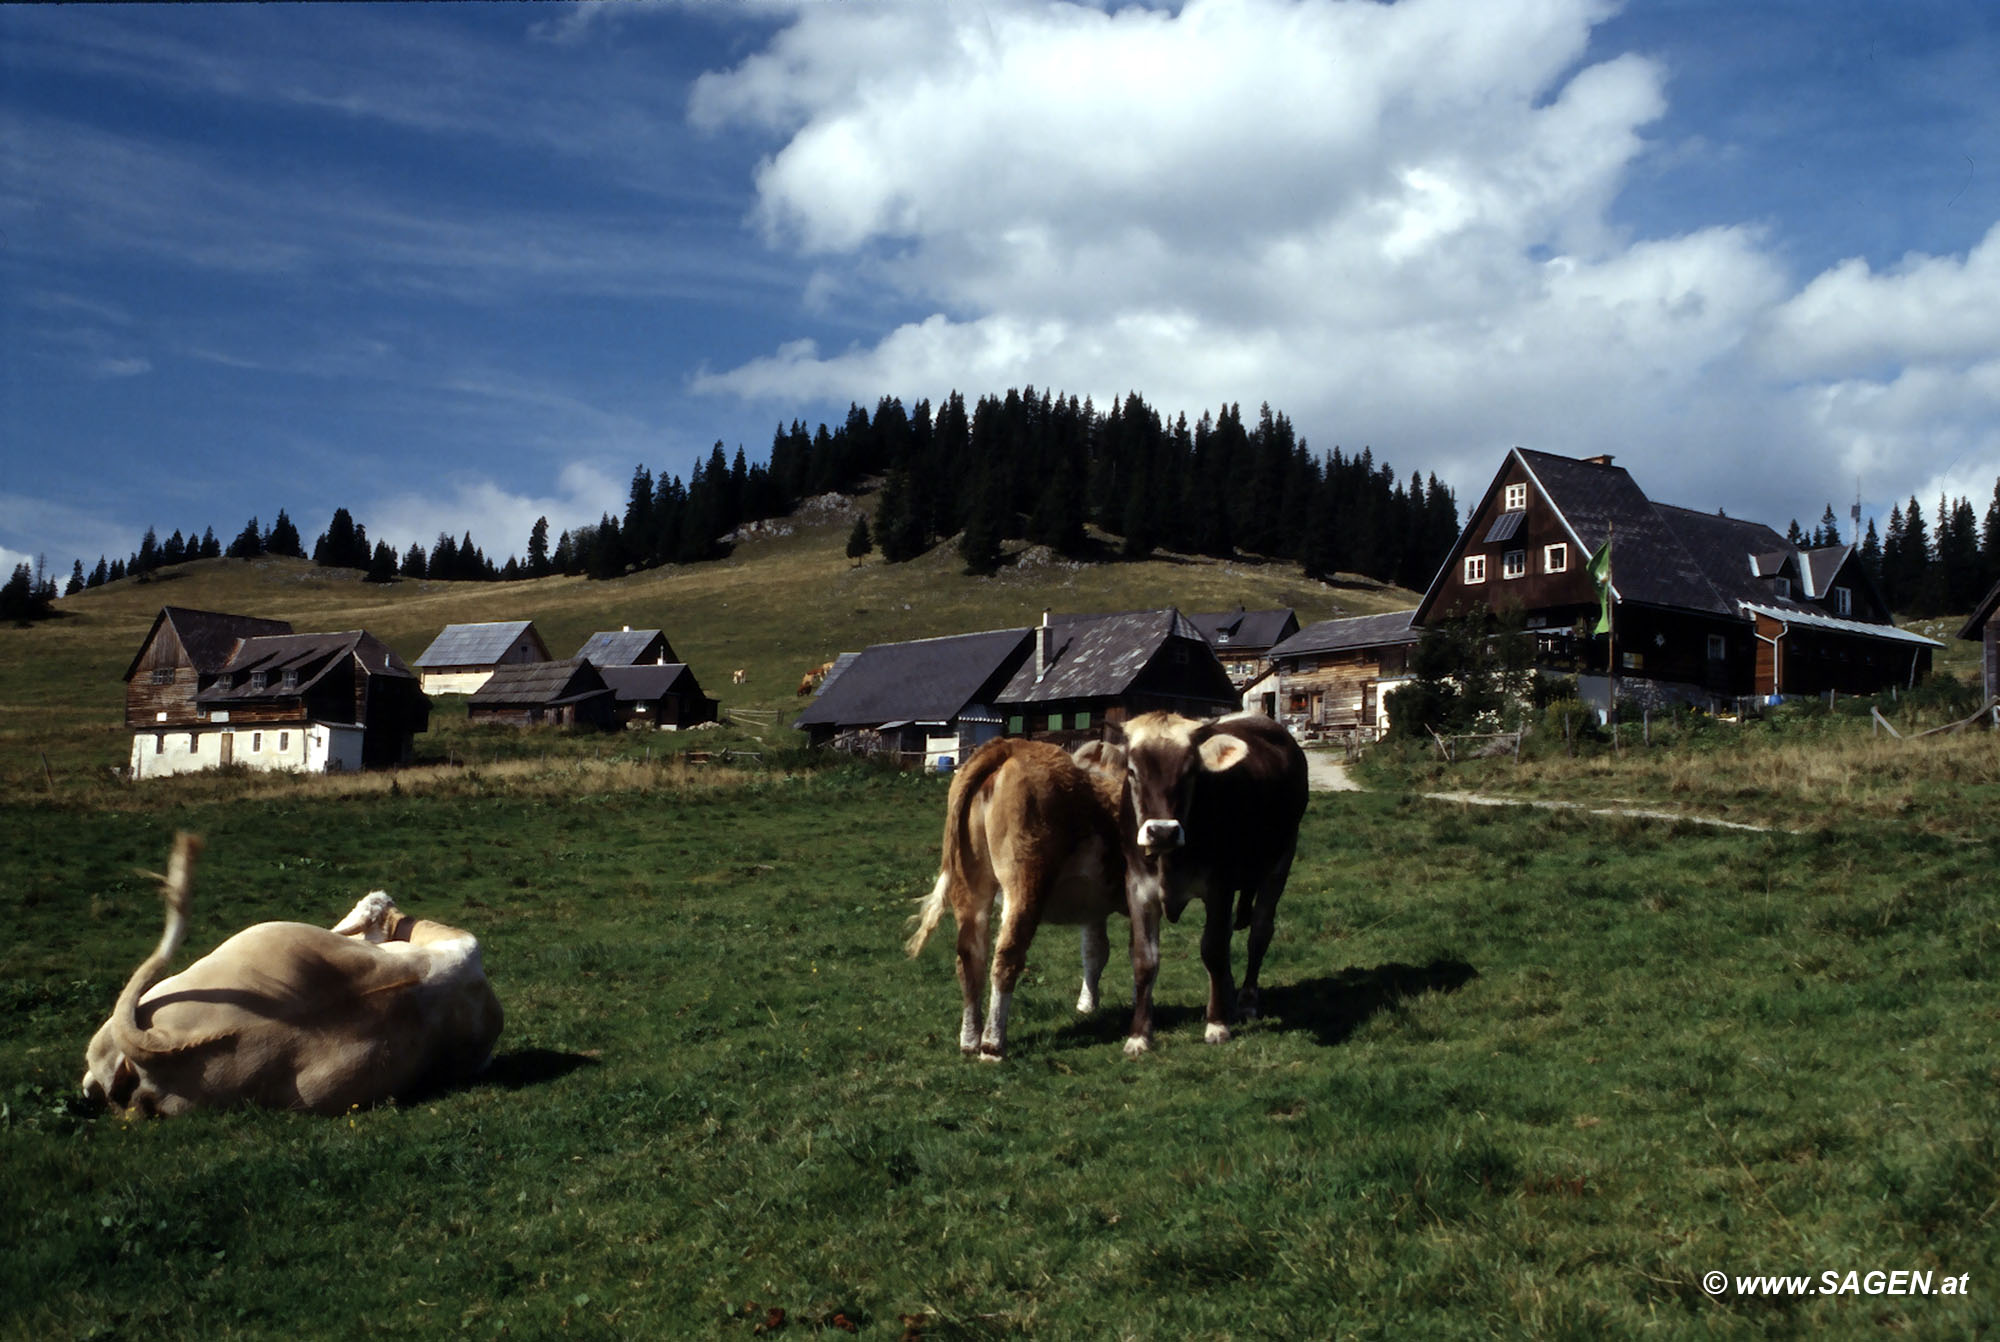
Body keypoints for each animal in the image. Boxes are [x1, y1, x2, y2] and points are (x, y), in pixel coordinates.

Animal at [904, 736, 1168, 1064]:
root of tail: (1009, 746)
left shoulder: (1094, 907)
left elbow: (1095, 951)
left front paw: (1087, 1005)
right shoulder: (1145, 897)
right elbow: (1143, 955)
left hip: (970, 885)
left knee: (969, 957)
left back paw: (970, 1039)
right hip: (1025, 882)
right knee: (1006, 958)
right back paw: (992, 1044)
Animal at [1112, 708, 1312, 1048]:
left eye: (1191, 771)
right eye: (1132, 771)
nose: (1162, 831)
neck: (1169, 861)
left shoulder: (1220, 885)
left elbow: (1213, 949)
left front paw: (1217, 1024)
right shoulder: (1137, 888)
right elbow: (1144, 959)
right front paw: (1139, 1035)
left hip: (1282, 858)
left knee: (1259, 933)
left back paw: (1245, 1001)